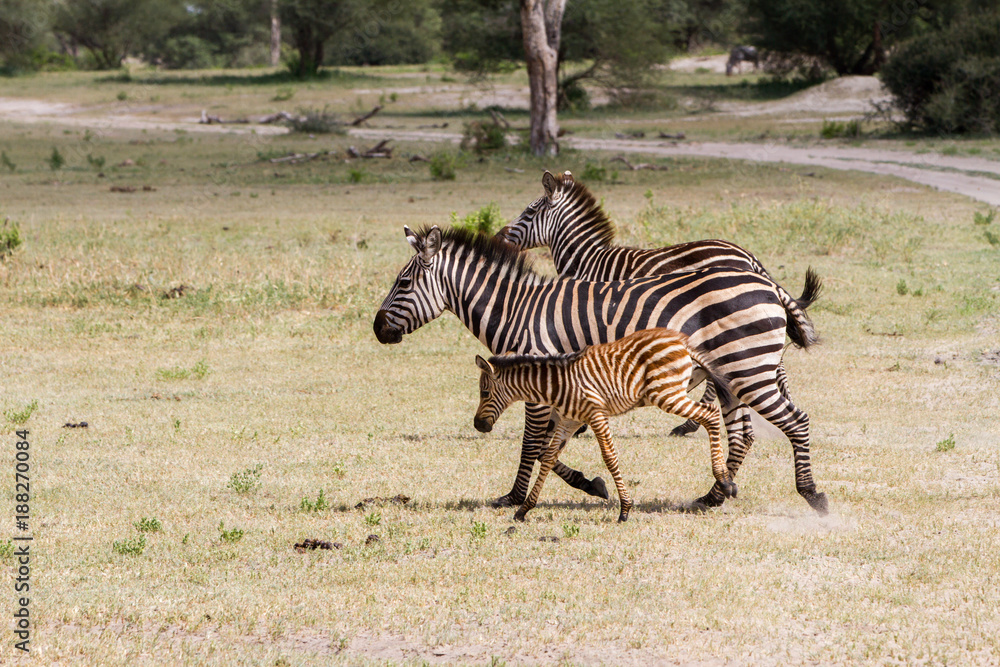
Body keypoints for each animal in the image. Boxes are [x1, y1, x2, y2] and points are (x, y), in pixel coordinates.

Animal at [473, 328, 739, 522]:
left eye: (484, 393)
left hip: (665, 394)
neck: (558, 386)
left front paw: (625, 509)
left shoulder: (596, 414)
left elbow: (610, 458)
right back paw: (725, 482)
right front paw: (524, 509)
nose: (478, 425)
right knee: (710, 415)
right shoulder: (570, 420)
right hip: (669, 393)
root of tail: (681, 341)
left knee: (710, 414)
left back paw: (724, 481)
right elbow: (548, 458)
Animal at [496, 170, 821, 488]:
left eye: (529, 211)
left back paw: (692, 424)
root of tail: (748, 255)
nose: (499, 237)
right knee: (769, 366)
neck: (587, 263)